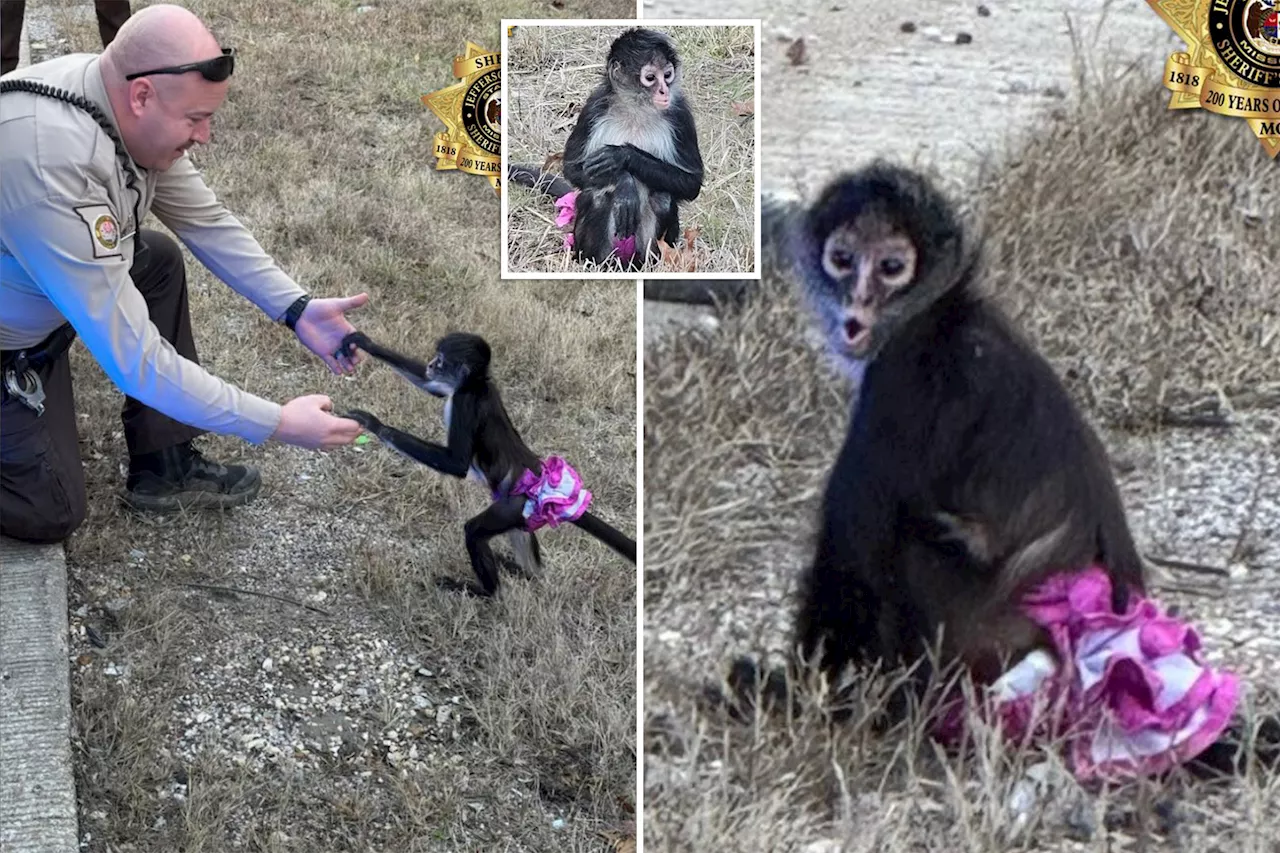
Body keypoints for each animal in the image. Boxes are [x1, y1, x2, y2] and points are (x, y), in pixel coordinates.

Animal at [340, 327, 640, 594]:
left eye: (441, 360)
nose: (430, 364)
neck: (477, 385)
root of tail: (542, 477)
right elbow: (431, 386)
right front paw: (365, 343)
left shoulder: (465, 402)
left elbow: (456, 464)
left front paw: (375, 424)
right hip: (522, 512)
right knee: (520, 537)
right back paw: (526, 573)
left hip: (513, 506)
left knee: (474, 531)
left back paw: (486, 593)